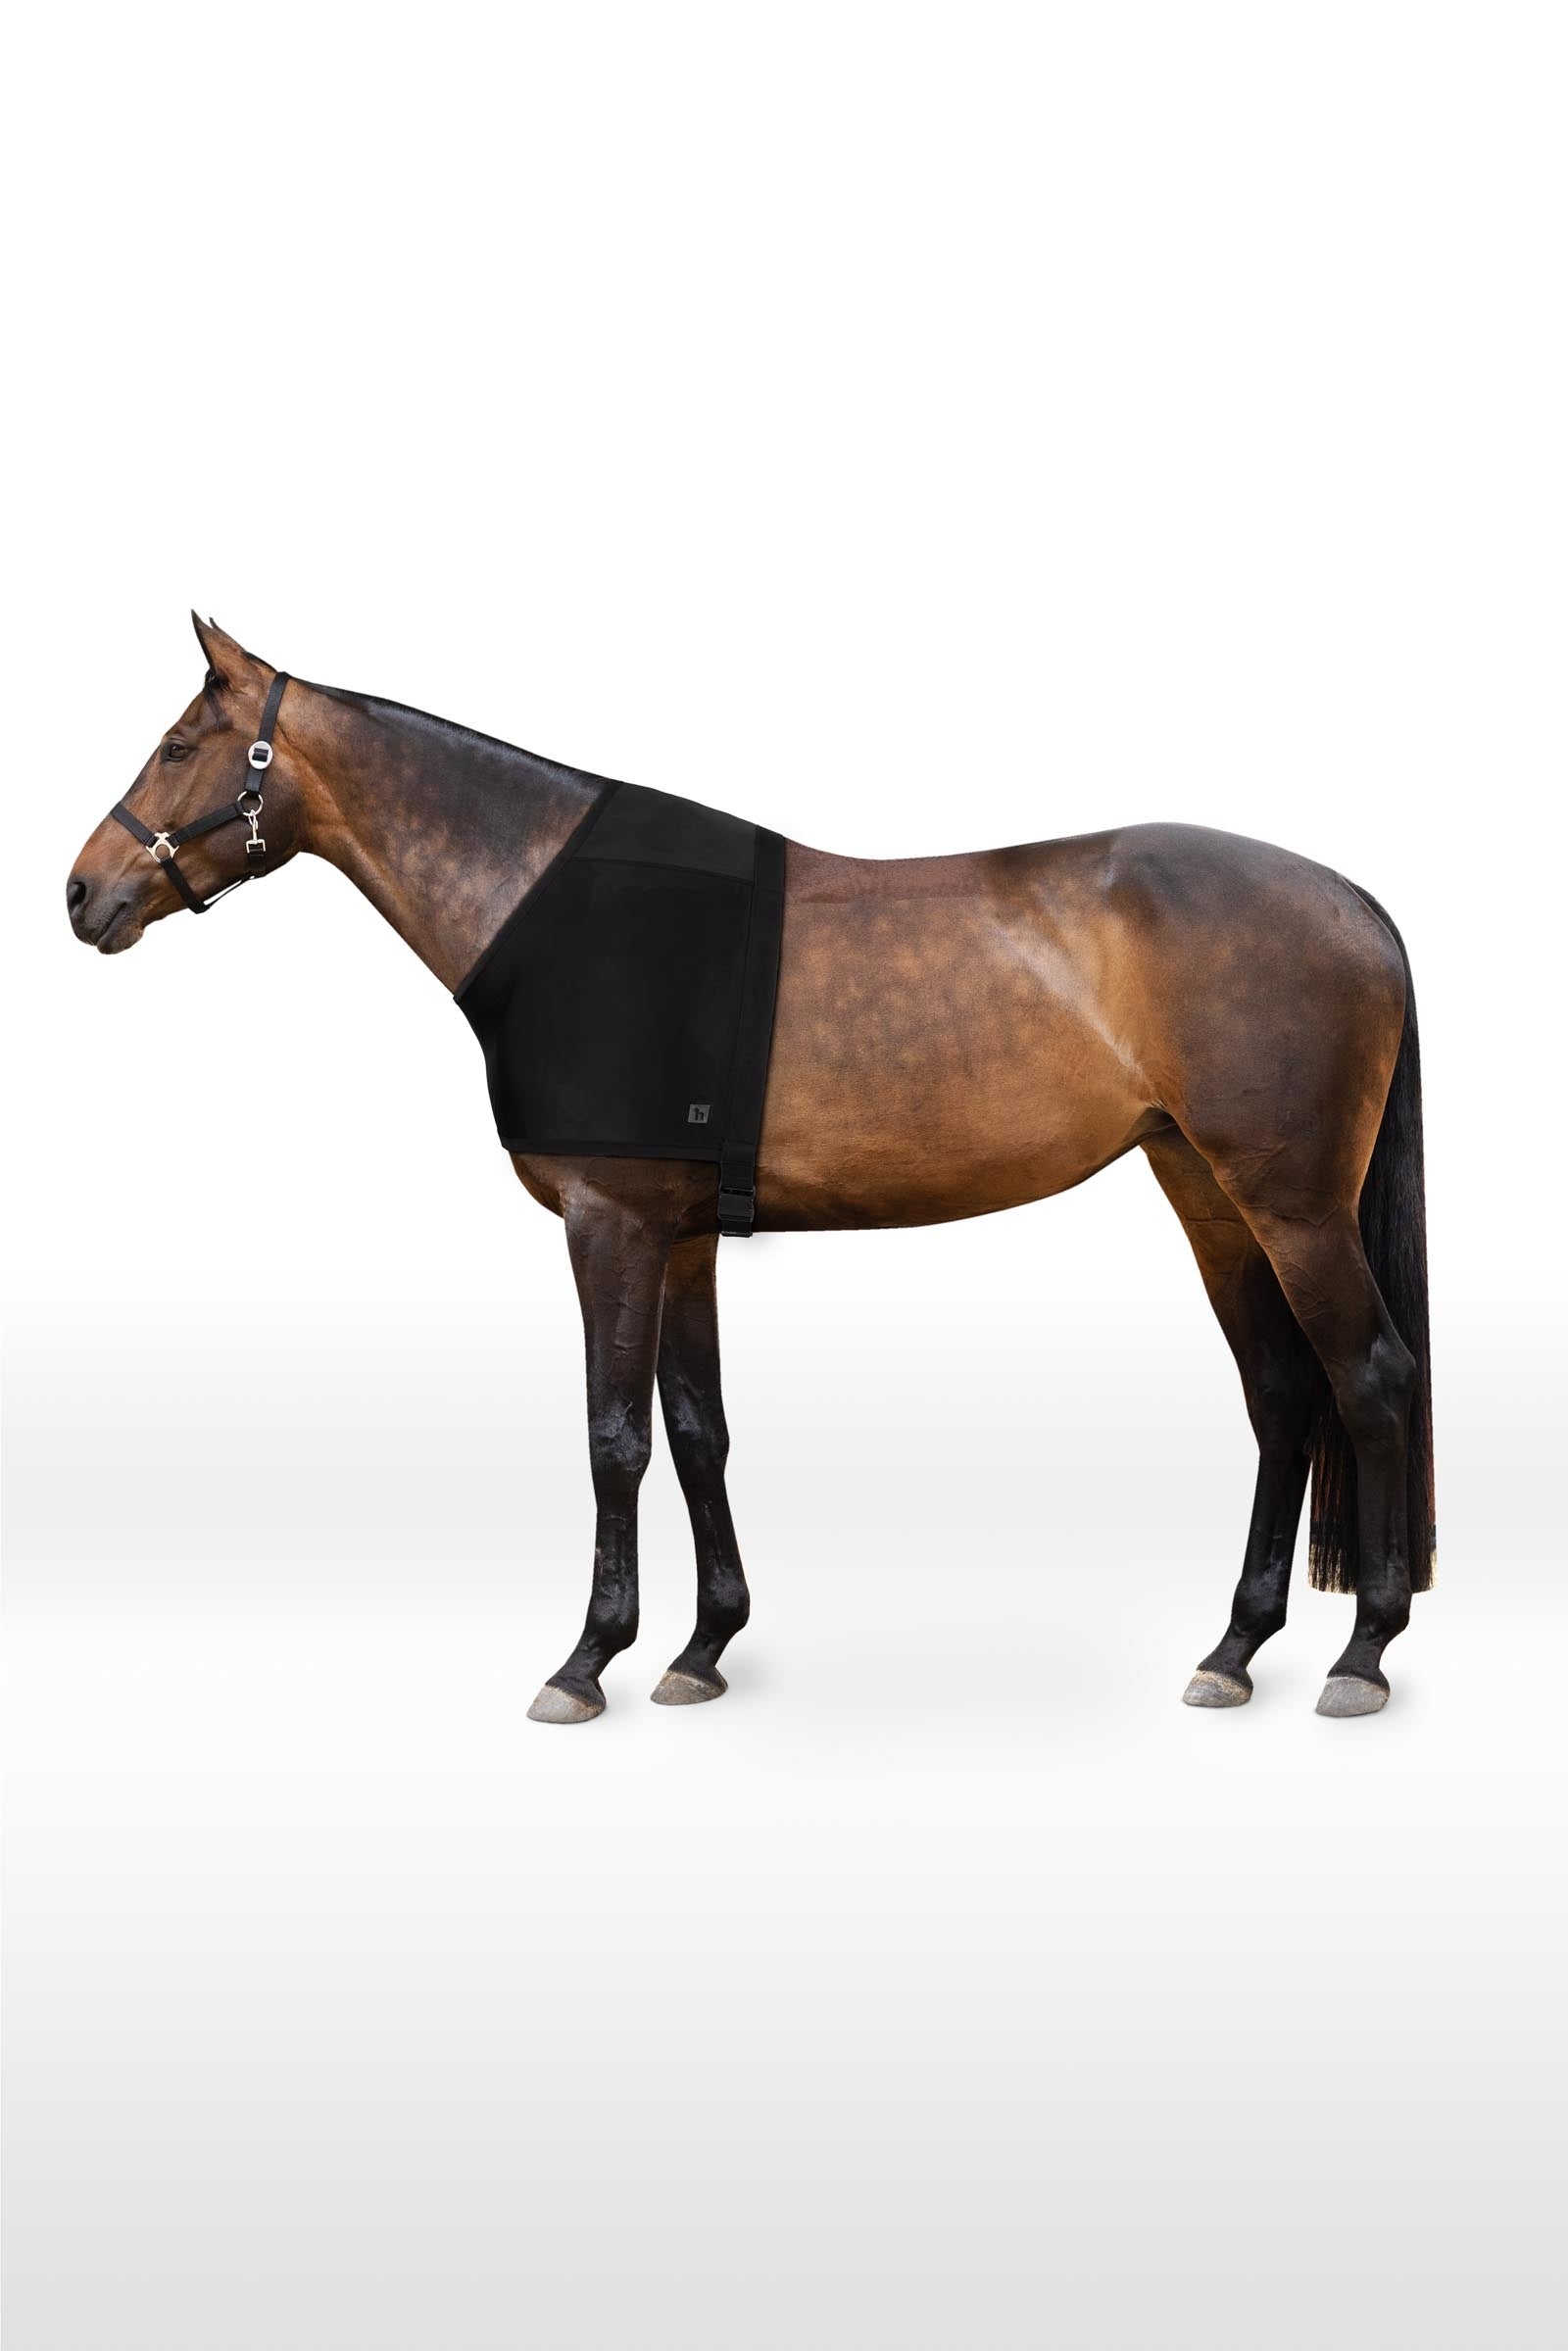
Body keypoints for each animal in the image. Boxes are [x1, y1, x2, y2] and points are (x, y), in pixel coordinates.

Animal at [67, 616, 1435, 1725]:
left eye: (181, 745)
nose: (82, 893)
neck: (544, 898)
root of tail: (1356, 902)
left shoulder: (607, 1221)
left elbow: (613, 1435)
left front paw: (587, 1661)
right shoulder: (679, 1234)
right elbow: (697, 1428)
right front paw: (701, 1646)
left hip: (1295, 1209)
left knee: (1368, 1380)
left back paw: (1361, 1653)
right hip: (1209, 1197)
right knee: (1281, 1396)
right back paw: (1235, 1647)